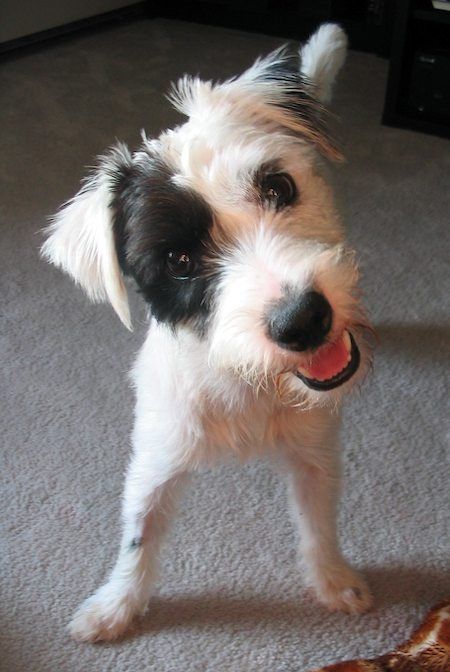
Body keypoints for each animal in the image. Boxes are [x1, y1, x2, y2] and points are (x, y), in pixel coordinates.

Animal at [41, 23, 372, 644]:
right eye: (178, 260)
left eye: (278, 187)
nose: (303, 320)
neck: (245, 377)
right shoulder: (153, 460)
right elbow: (138, 534)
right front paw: (115, 606)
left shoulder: (315, 451)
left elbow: (319, 522)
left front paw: (333, 579)